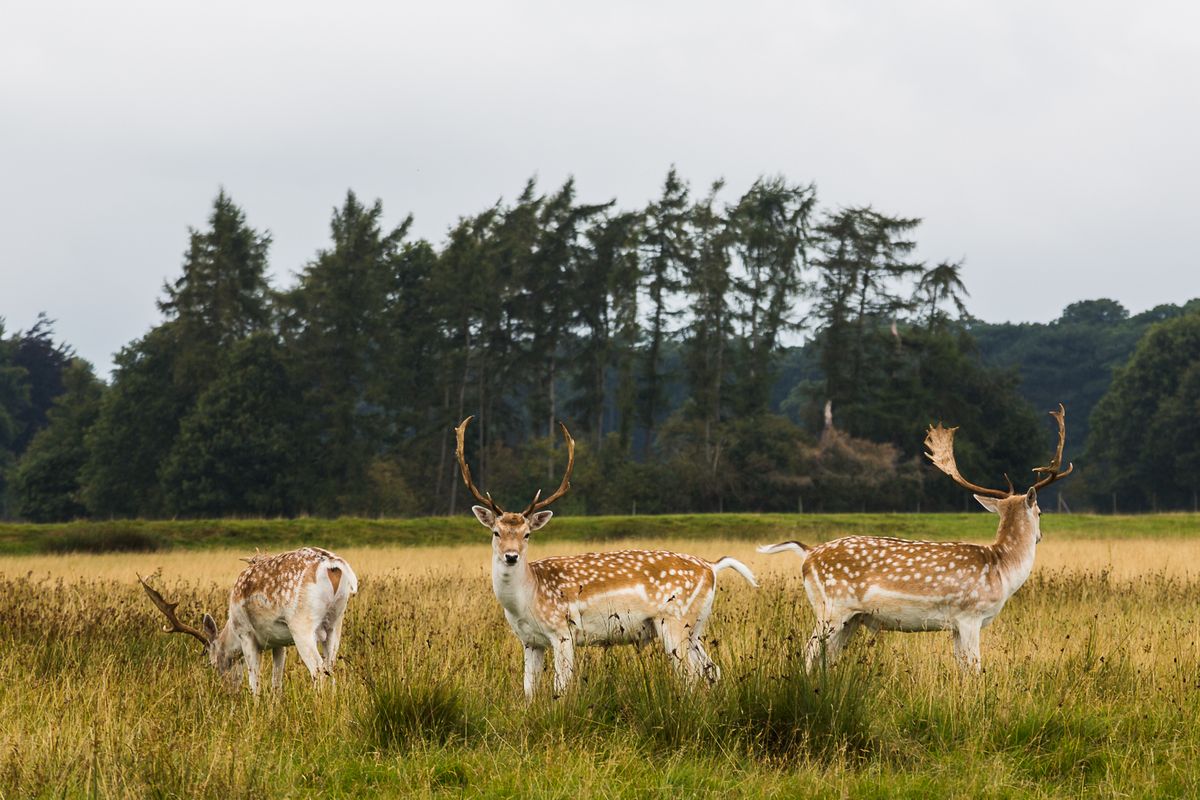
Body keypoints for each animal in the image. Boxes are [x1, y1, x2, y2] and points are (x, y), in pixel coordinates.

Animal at [138, 546, 358, 695]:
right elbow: (276, 682)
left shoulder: (246, 635)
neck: (232, 629)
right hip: (335, 623)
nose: (228, 690)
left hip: (302, 624)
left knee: (319, 670)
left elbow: (255, 682)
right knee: (331, 669)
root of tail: (335, 566)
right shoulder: (279, 643)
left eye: (212, 663)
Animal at [454, 416, 758, 699]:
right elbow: (529, 690)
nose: (511, 556)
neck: (528, 599)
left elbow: (561, 687)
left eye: (527, 534)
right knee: (712, 669)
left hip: (674, 620)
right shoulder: (530, 641)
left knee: (691, 675)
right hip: (695, 626)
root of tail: (712, 567)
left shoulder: (563, 631)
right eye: (496, 532)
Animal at [758, 404, 1073, 673]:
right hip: (830, 609)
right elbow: (974, 669)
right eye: (1041, 512)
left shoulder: (956, 626)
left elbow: (962, 668)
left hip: (851, 619)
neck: (1002, 571)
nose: (1040, 536)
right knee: (808, 653)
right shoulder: (969, 616)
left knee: (827, 657)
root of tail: (808, 553)